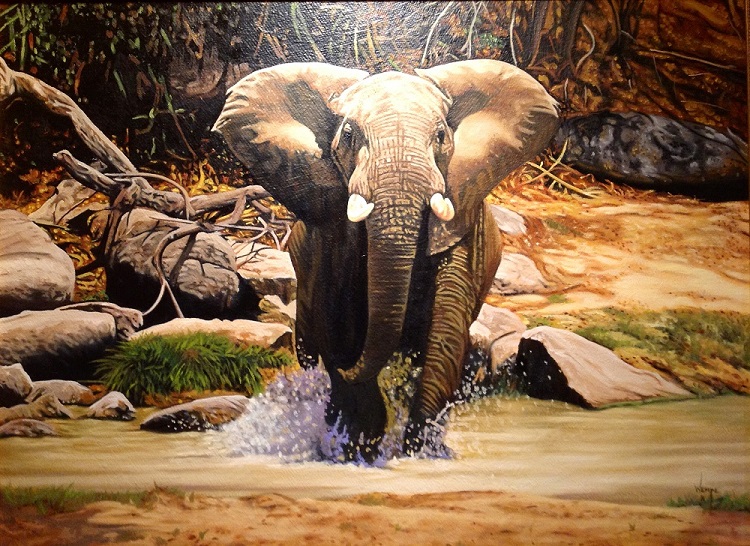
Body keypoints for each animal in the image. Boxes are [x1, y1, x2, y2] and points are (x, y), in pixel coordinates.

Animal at [213, 59, 559, 461]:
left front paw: (420, 452)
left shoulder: (463, 222)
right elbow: (338, 322)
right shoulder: (328, 237)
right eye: (348, 135)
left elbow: (445, 331)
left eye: (441, 135)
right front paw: (359, 448)